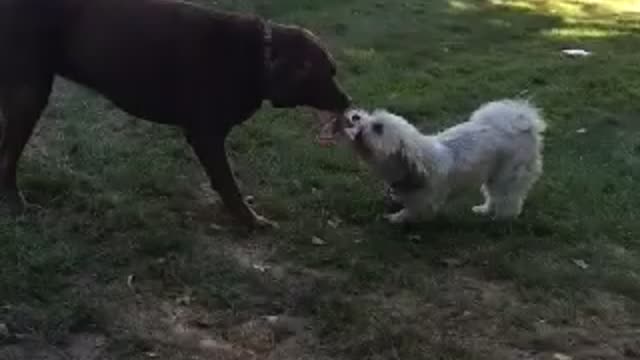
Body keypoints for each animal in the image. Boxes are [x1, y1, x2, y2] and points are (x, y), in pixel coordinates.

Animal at [0, 0, 350, 228]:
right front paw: (248, 219)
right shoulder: (207, 136)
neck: (259, 57)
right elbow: (228, 184)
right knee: (7, 159)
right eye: (325, 74)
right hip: (29, 95)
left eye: (334, 71)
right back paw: (15, 203)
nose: (347, 101)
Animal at [342, 98, 548, 222]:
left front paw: (396, 219)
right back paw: (483, 210)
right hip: (493, 176)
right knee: (494, 197)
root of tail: (523, 121)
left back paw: (501, 220)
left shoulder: (424, 202)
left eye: (378, 127)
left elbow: (411, 211)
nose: (355, 116)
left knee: (508, 200)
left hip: (508, 176)